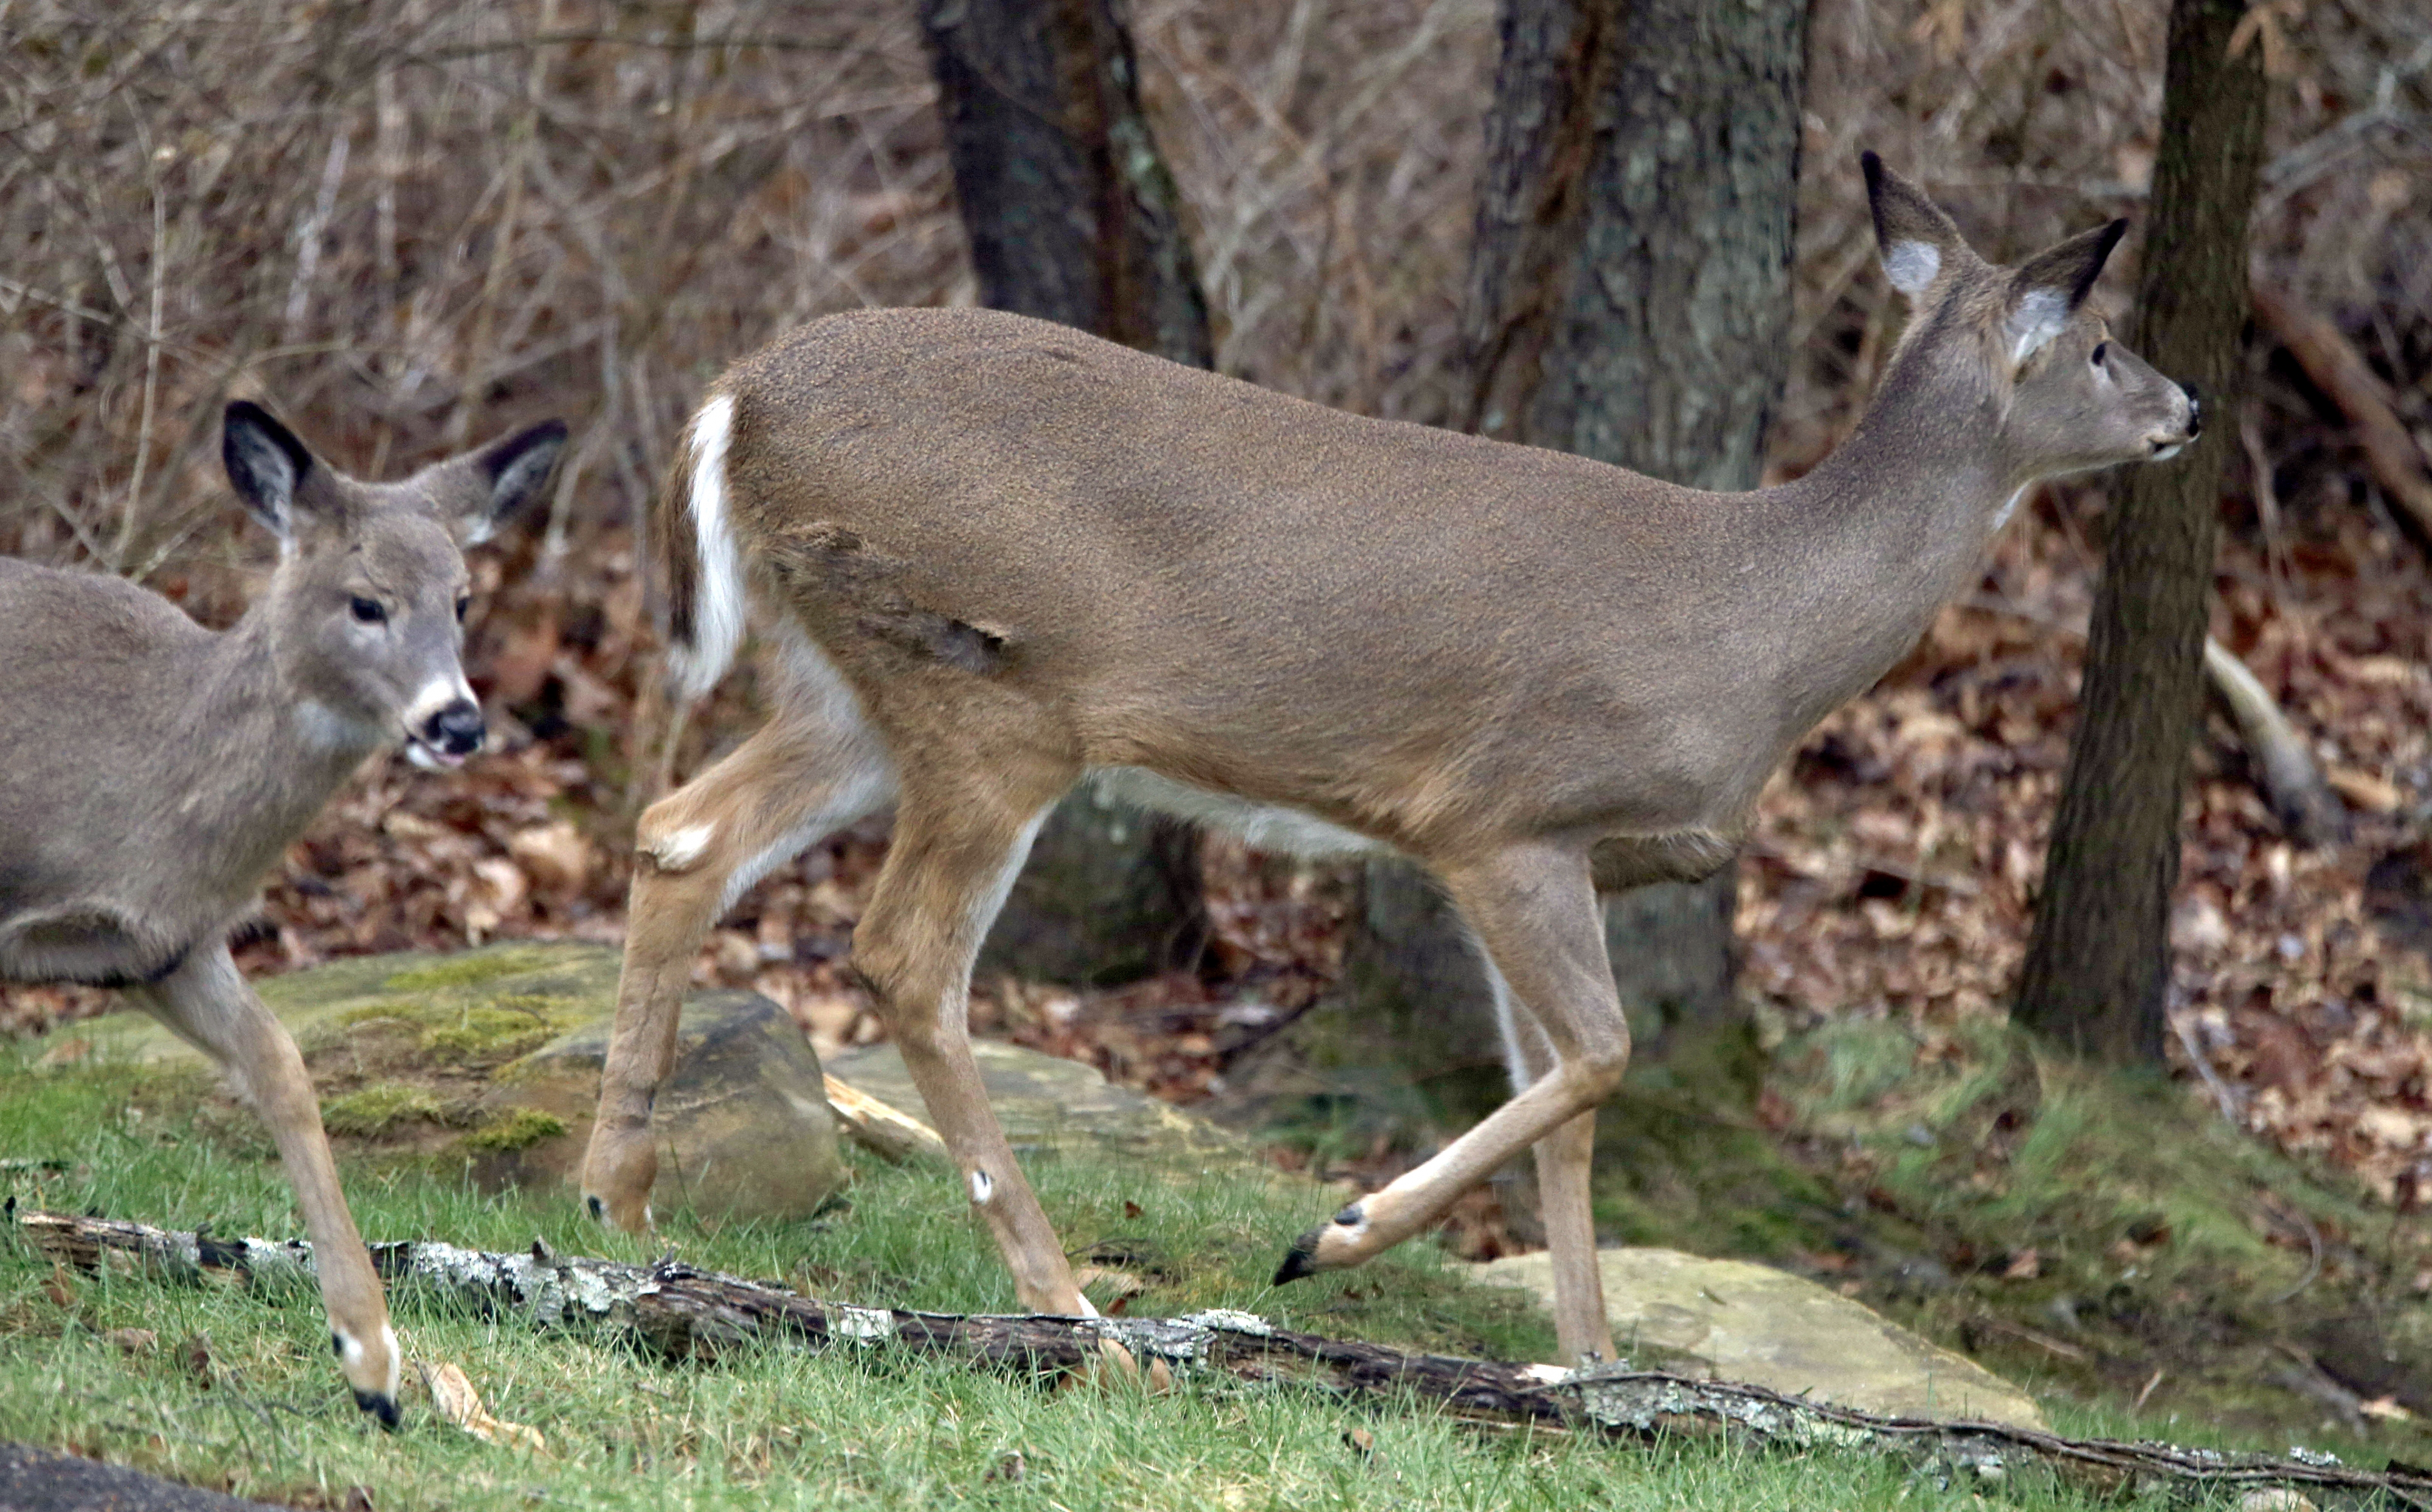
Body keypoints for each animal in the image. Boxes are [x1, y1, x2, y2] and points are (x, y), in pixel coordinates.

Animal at [0, 402, 566, 1424]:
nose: (457, 722)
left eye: (463, 599)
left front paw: (371, 1358)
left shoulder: (162, 946)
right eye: (366, 601)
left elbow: (284, 1065)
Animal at [578, 154, 2199, 1370]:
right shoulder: (1501, 818)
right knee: (904, 950)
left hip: (850, 684)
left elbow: (1567, 1105)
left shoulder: (1560, 857)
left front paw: (1592, 1366)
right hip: (989, 693)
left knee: (682, 831)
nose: (2186, 407)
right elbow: (1599, 1057)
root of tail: (738, 393)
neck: (1754, 626)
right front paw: (1333, 1235)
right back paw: (1067, 1299)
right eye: (2097, 343)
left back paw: (618, 1209)